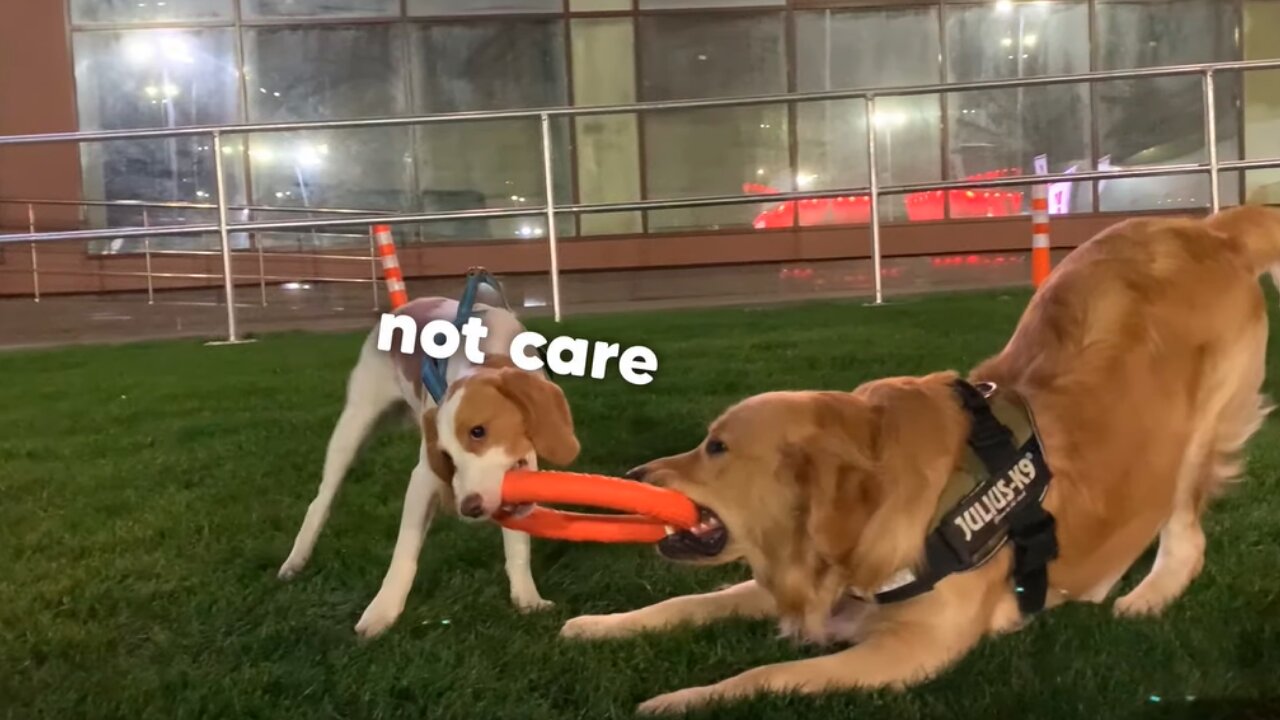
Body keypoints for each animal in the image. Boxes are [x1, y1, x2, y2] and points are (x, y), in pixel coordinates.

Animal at [282, 288, 583, 635]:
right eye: (445, 456)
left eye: (478, 431)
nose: (469, 508)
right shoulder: (423, 478)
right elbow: (405, 550)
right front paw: (380, 613)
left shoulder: (525, 465)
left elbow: (517, 545)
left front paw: (527, 598)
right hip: (353, 424)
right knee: (322, 499)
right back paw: (296, 559)